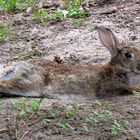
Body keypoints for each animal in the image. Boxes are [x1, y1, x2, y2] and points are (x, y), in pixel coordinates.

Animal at [0, 26, 140, 98]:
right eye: (128, 55)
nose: (139, 66)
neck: (119, 68)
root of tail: (19, 68)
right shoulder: (108, 87)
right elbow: (127, 89)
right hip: (31, 83)